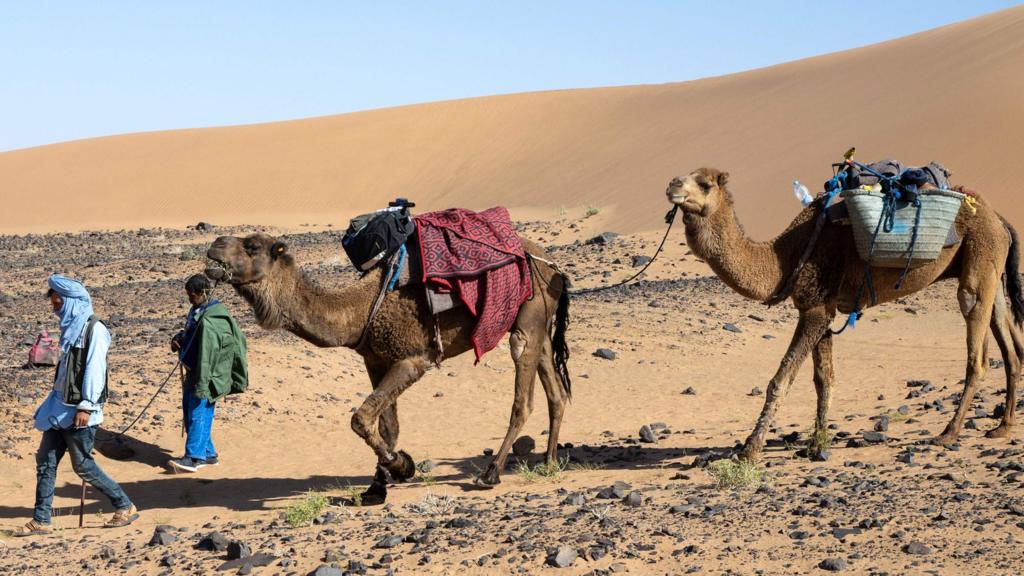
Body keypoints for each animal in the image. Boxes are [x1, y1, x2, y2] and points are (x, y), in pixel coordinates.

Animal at [203, 230, 573, 500]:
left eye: (252, 245)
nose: (215, 244)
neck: (359, 311)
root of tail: (554, 267)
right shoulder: (375, 360)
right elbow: (387, 426)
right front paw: (377, 484)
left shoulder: (412, 359)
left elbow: (361, 417)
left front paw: (401, 466)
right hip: (539, 323)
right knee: (555, 392)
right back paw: (550, 463)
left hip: (529, 315)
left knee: (522, 395)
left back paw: (491, 473)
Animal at [663, 166, 1024, 457]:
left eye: (705, 183)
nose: (671, 184)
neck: (784, 257)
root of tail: (999, 218)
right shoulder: (822, 307)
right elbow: (824, 379)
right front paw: (816, 443)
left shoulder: (815, 308)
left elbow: (781, 379)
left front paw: (750, 449)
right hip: (990, 266)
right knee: (1010, 344)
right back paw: (1002, 426)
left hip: (980, 255)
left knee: (976, 345)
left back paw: (949, 433)